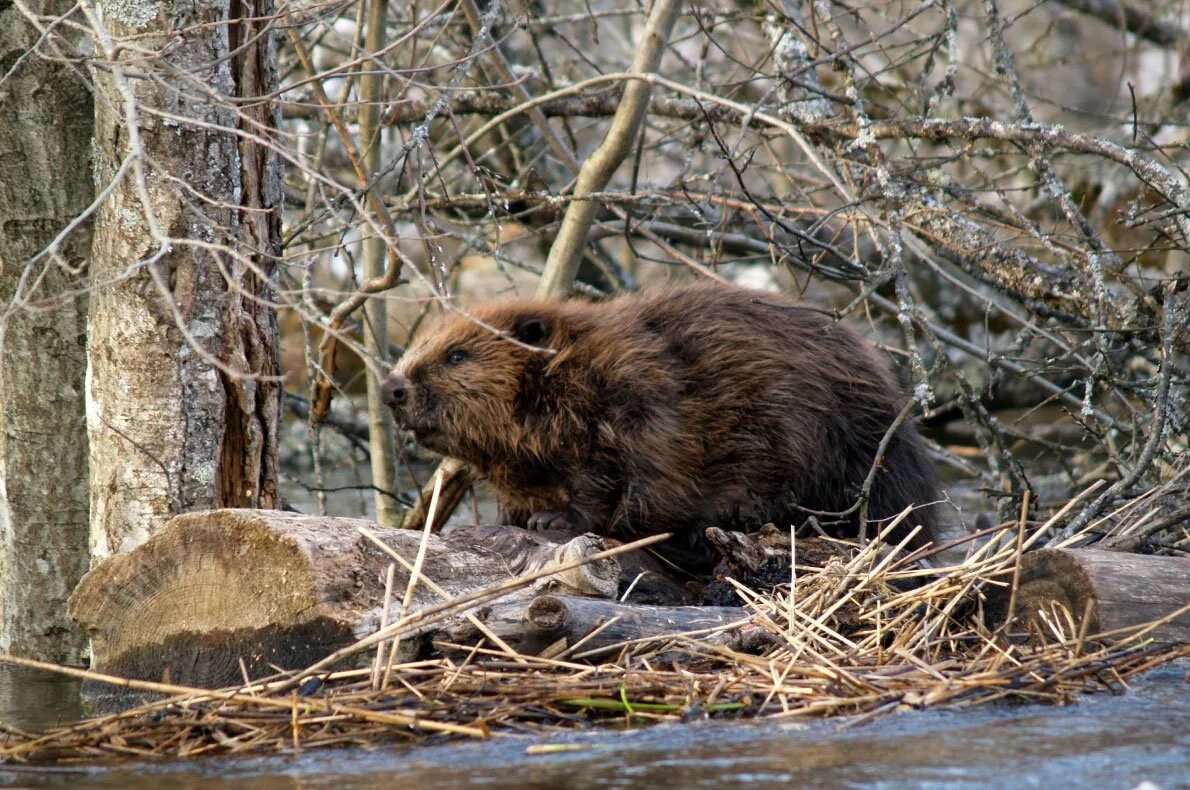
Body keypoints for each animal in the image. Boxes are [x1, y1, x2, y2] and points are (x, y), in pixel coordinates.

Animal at [385, 284, 952, 573]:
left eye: (457, 355)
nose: (392, 388)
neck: (574, 364)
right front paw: (516, 514)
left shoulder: (639, 399)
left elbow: (620, 477)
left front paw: (553, 520)